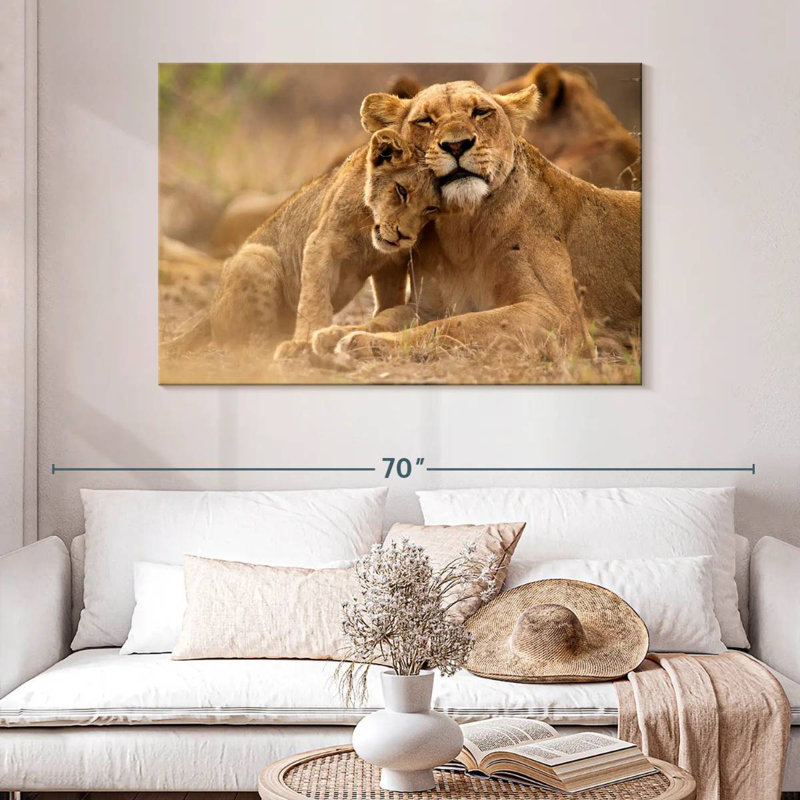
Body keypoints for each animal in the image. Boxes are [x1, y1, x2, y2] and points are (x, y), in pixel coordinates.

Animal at [160, 129, 440, 359]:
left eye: (431, 209)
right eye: (401, 190)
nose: (404, 236)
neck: (369, 232)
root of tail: (208, 312)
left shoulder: (392, 262)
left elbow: (389, 300)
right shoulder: (322, 243)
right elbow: (315, 297)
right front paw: (305, 340)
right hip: (256, 257)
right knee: (247, 344)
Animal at [310, 80, 641, 366]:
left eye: (481, 112)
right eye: (425, 120)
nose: (457, 145)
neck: (462, 228)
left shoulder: (559, 317)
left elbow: (457, 325)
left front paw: (363, 343)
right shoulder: (427, 305)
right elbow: (388, 316)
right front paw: (333, 333)